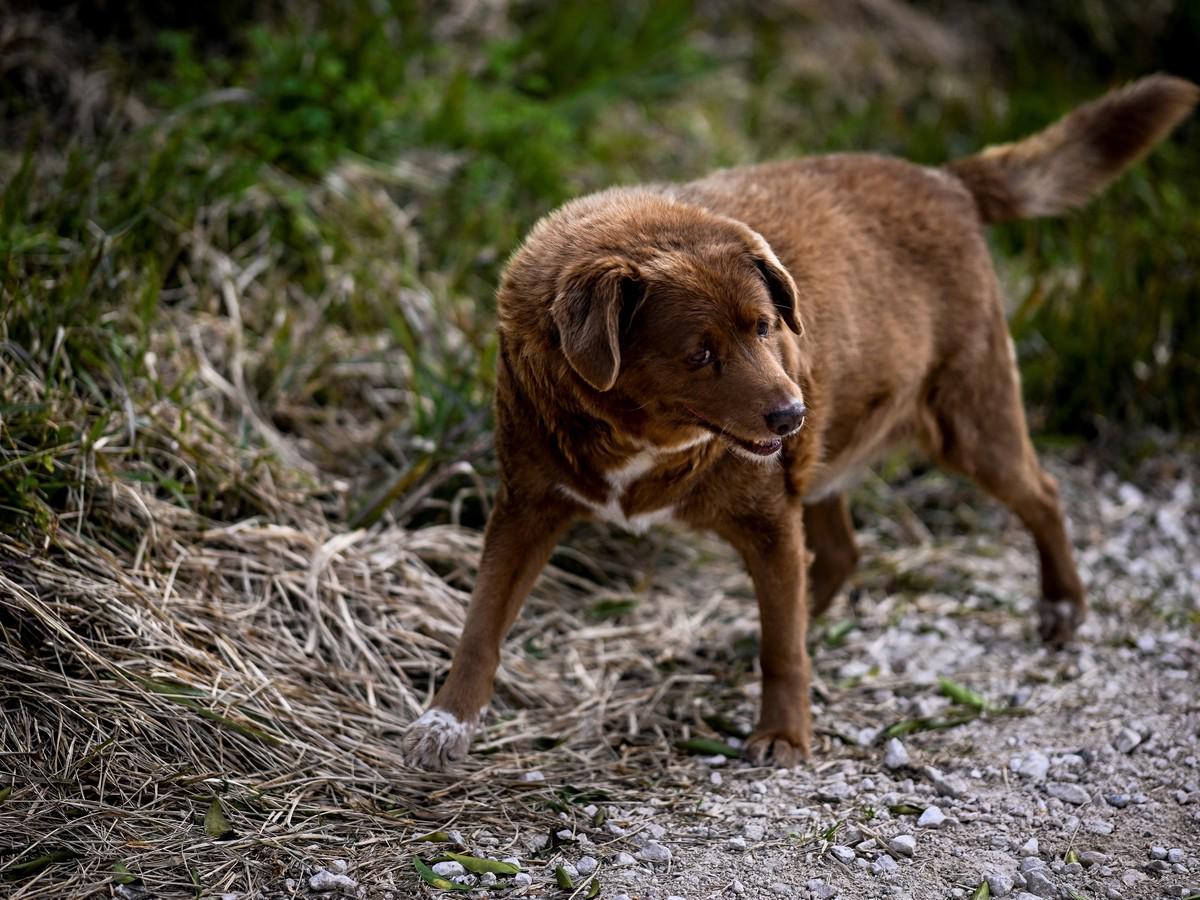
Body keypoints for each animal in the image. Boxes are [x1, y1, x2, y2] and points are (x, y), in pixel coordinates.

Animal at [405, 74, 1200, 772]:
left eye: (764, 327)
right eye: (700, 353)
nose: (791, 413)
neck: (641, 438)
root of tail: (946, 181)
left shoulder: (766, 515)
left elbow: (781, 647)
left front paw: (784, 735)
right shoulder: (528, 504)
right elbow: (481, 621)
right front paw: (445, 721)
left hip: (968, 421)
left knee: (1040, 494)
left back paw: (1062, 606)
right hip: (827, 457)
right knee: (838, 555)